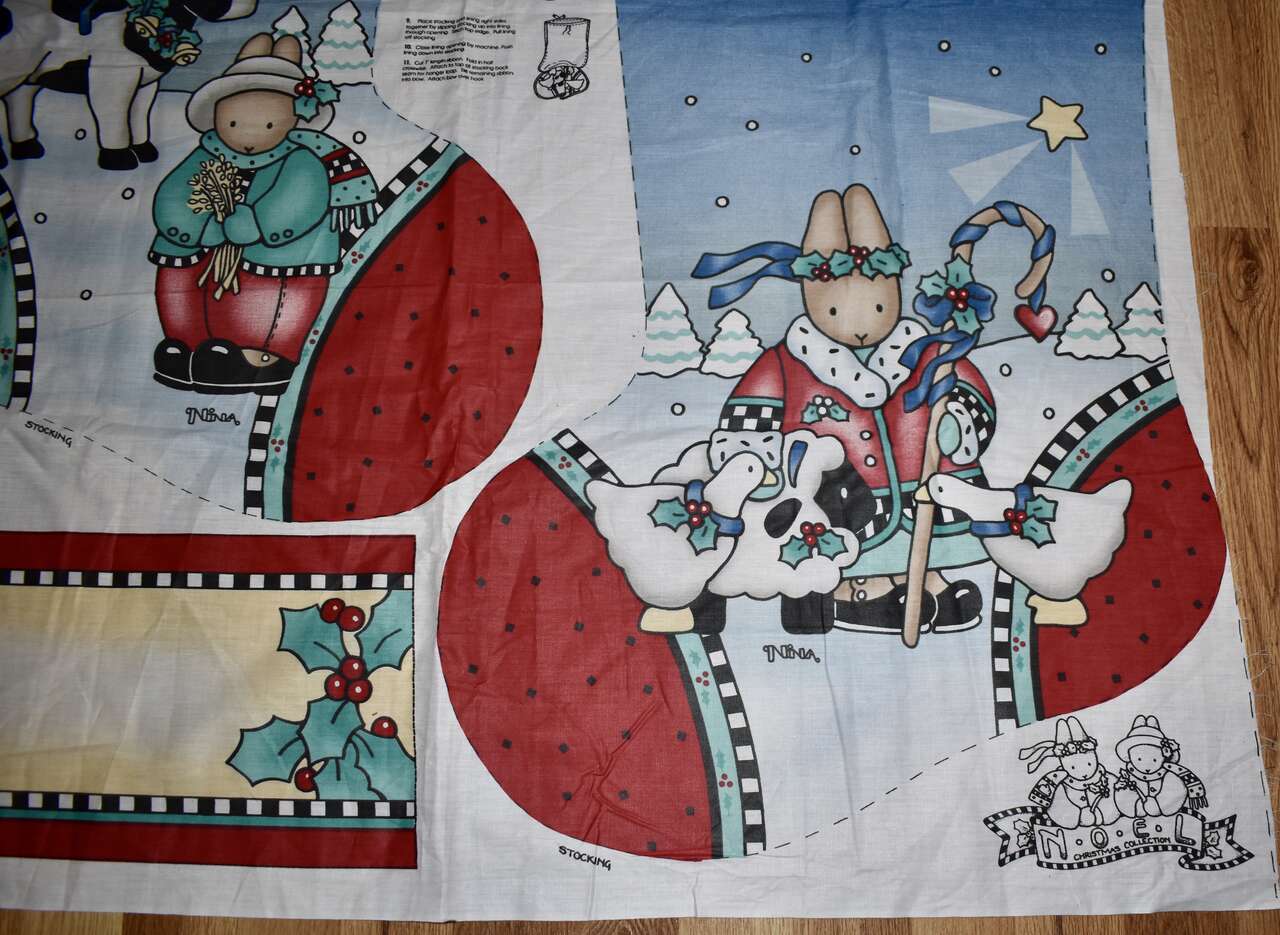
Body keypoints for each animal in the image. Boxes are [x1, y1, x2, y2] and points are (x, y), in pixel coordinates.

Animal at [0, 0, 258, 170]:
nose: (251, 3)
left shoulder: (145, 84)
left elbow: (138, 117)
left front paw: (143, 149)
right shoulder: (111, 77)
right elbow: (115, 120)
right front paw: (118, 158)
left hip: (29, 78)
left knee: (19, 101)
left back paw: (26, 146)